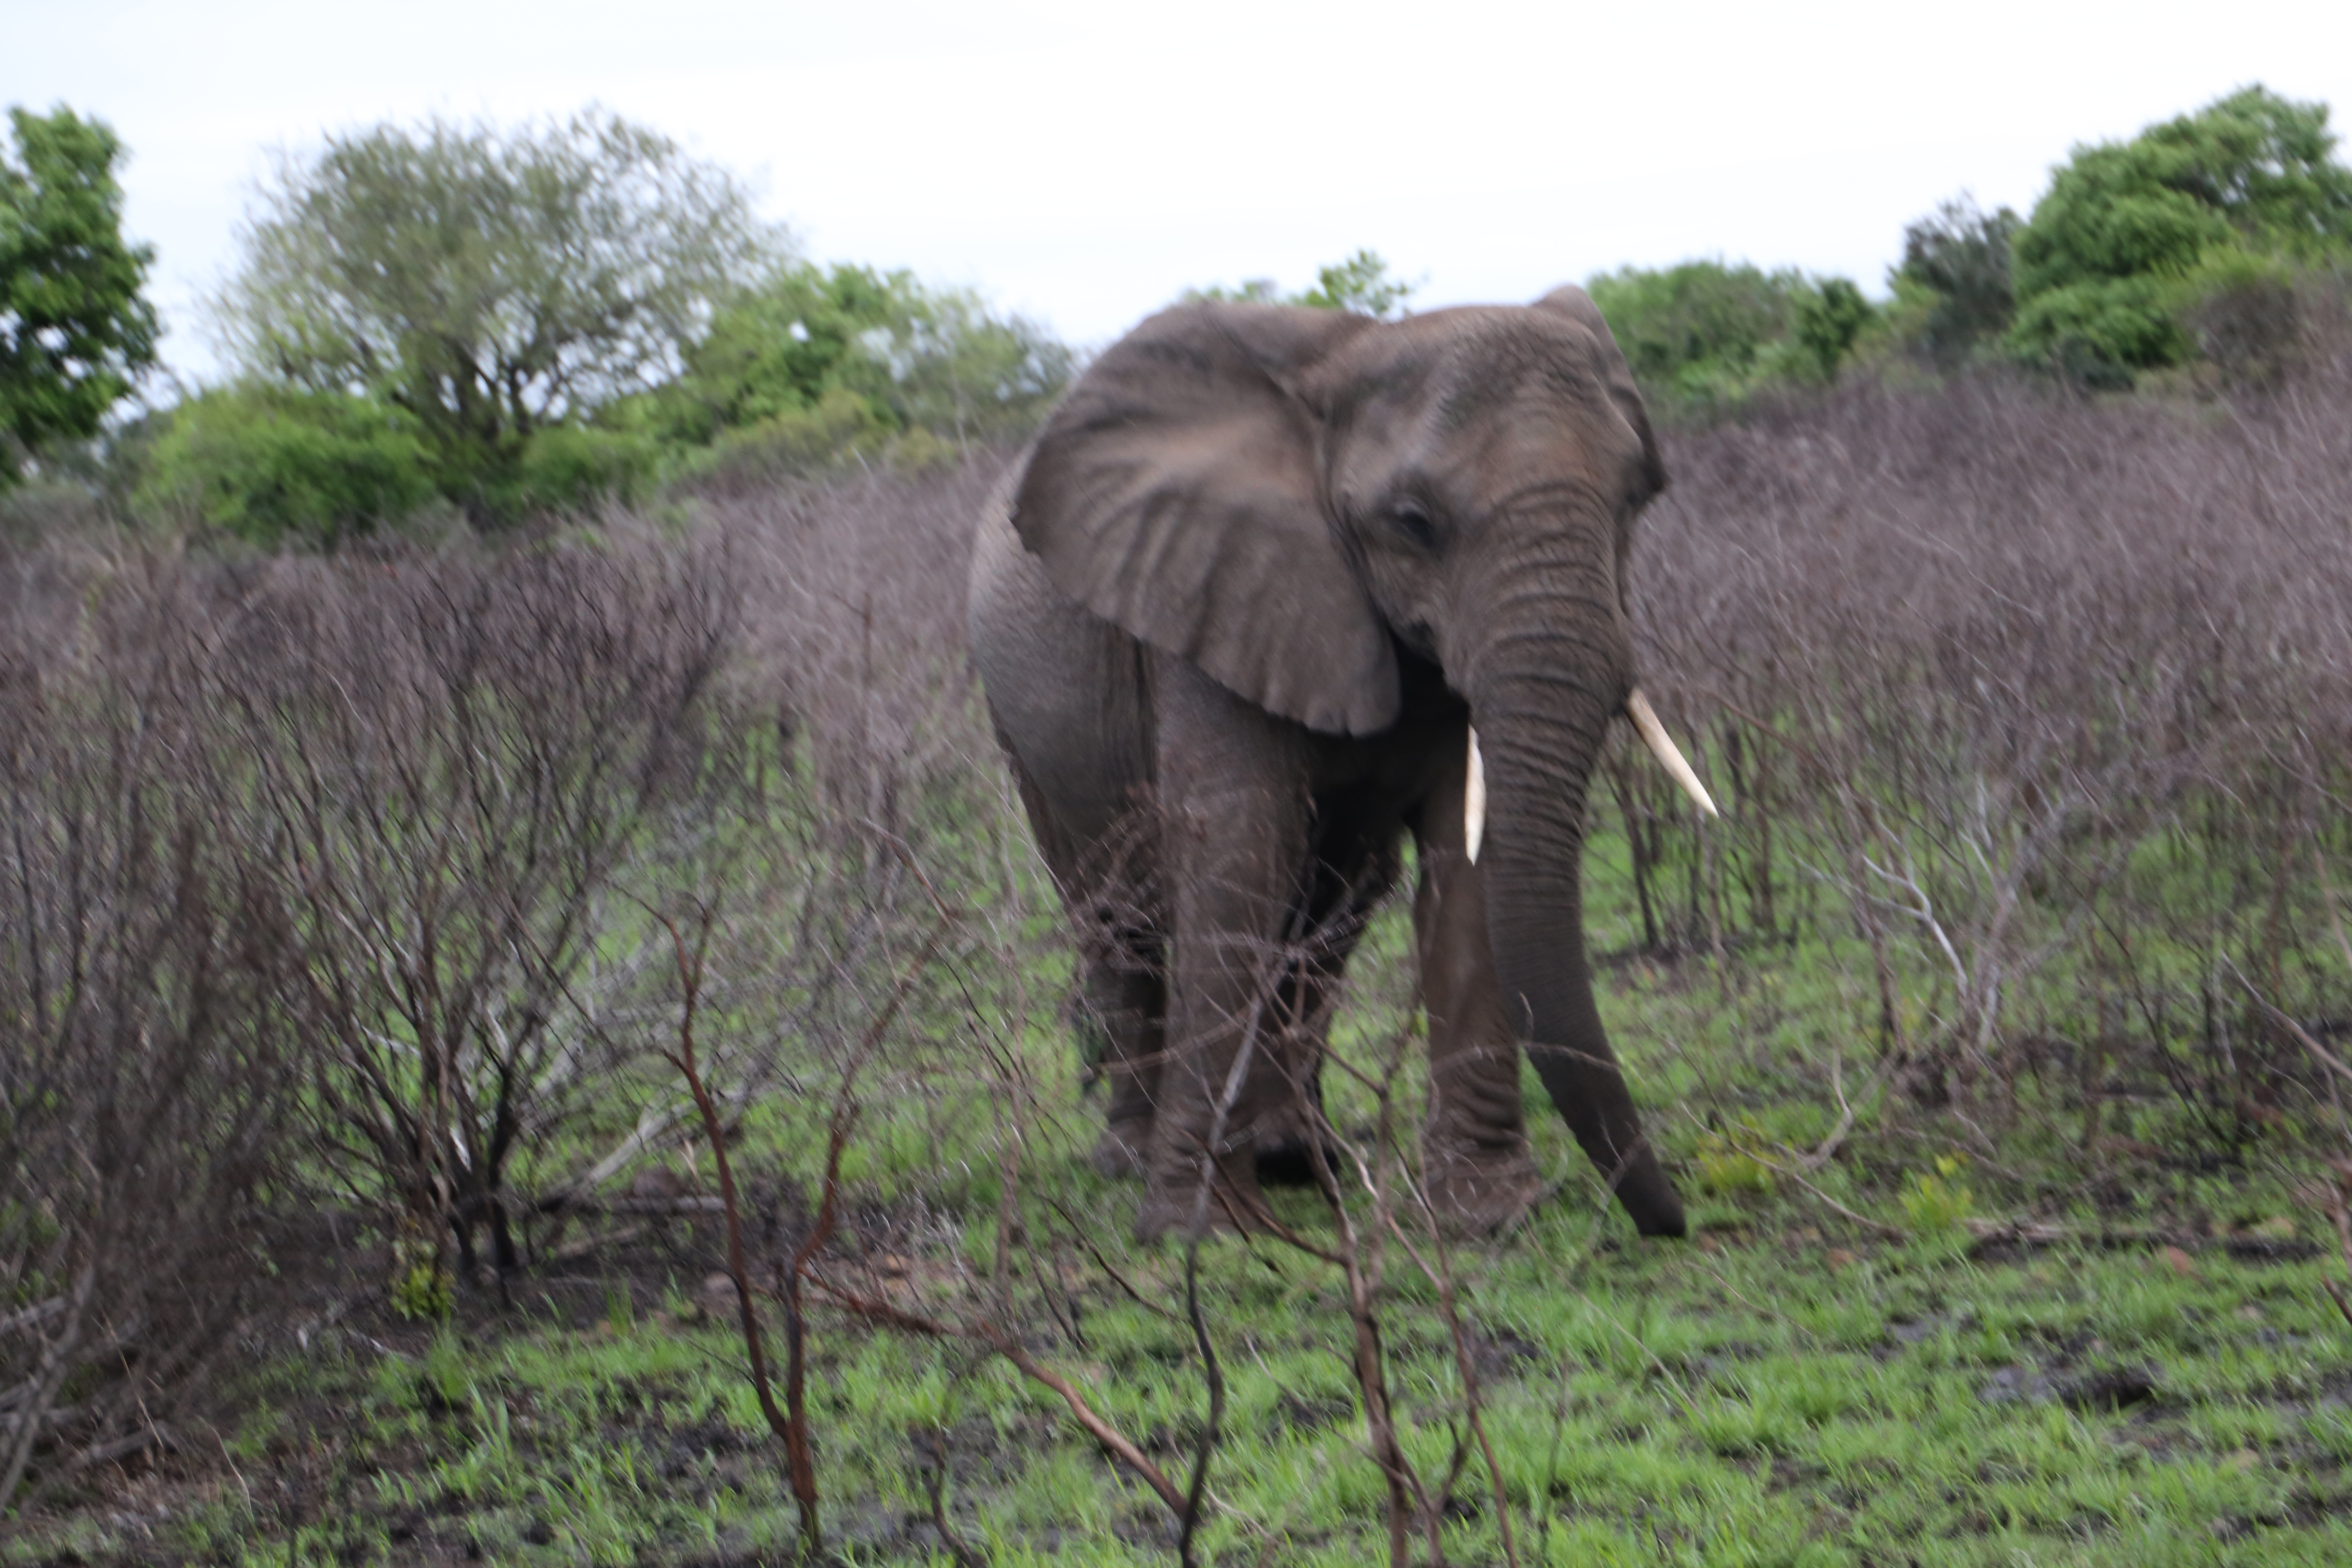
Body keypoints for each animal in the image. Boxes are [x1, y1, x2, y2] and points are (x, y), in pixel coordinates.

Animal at [965, 287, 1715, 1241]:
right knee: (1115, 909)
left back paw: (1300, 1155)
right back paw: (1135, 1157)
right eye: (1414, 523)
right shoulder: (1212, 589)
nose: (1674, 1220)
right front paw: (1202, 1230)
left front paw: (1485, 1215)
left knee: (1330, 907)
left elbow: (1466, 862)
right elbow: (1237, 854)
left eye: (1639, 497)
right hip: (1020, 721)